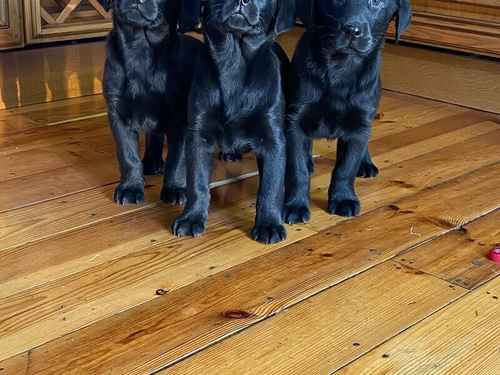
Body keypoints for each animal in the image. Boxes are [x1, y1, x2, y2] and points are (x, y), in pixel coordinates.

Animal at [100, 0, 202, 206]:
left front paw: (174, 188)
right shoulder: (117, 111)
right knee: (154, 136)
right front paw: (130, 187)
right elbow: (127, 155)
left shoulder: (181, 119)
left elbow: (177, 159)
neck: (141, 50)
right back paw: (152, 162)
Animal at [173, 0, 296, 244]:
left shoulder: (273, 139)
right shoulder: (198, 135)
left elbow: (270, 186)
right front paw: (191, 217)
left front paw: (269, 224)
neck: (234, 63)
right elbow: (196, 182)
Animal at [284, 0, 412, 223]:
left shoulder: (360, 123)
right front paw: (295, 205)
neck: (341, 67)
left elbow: (346, 167)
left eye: (377, 2)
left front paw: (343, 198)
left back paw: (366, 163)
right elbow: (297, 169)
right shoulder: (295, 120)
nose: (352, 30)